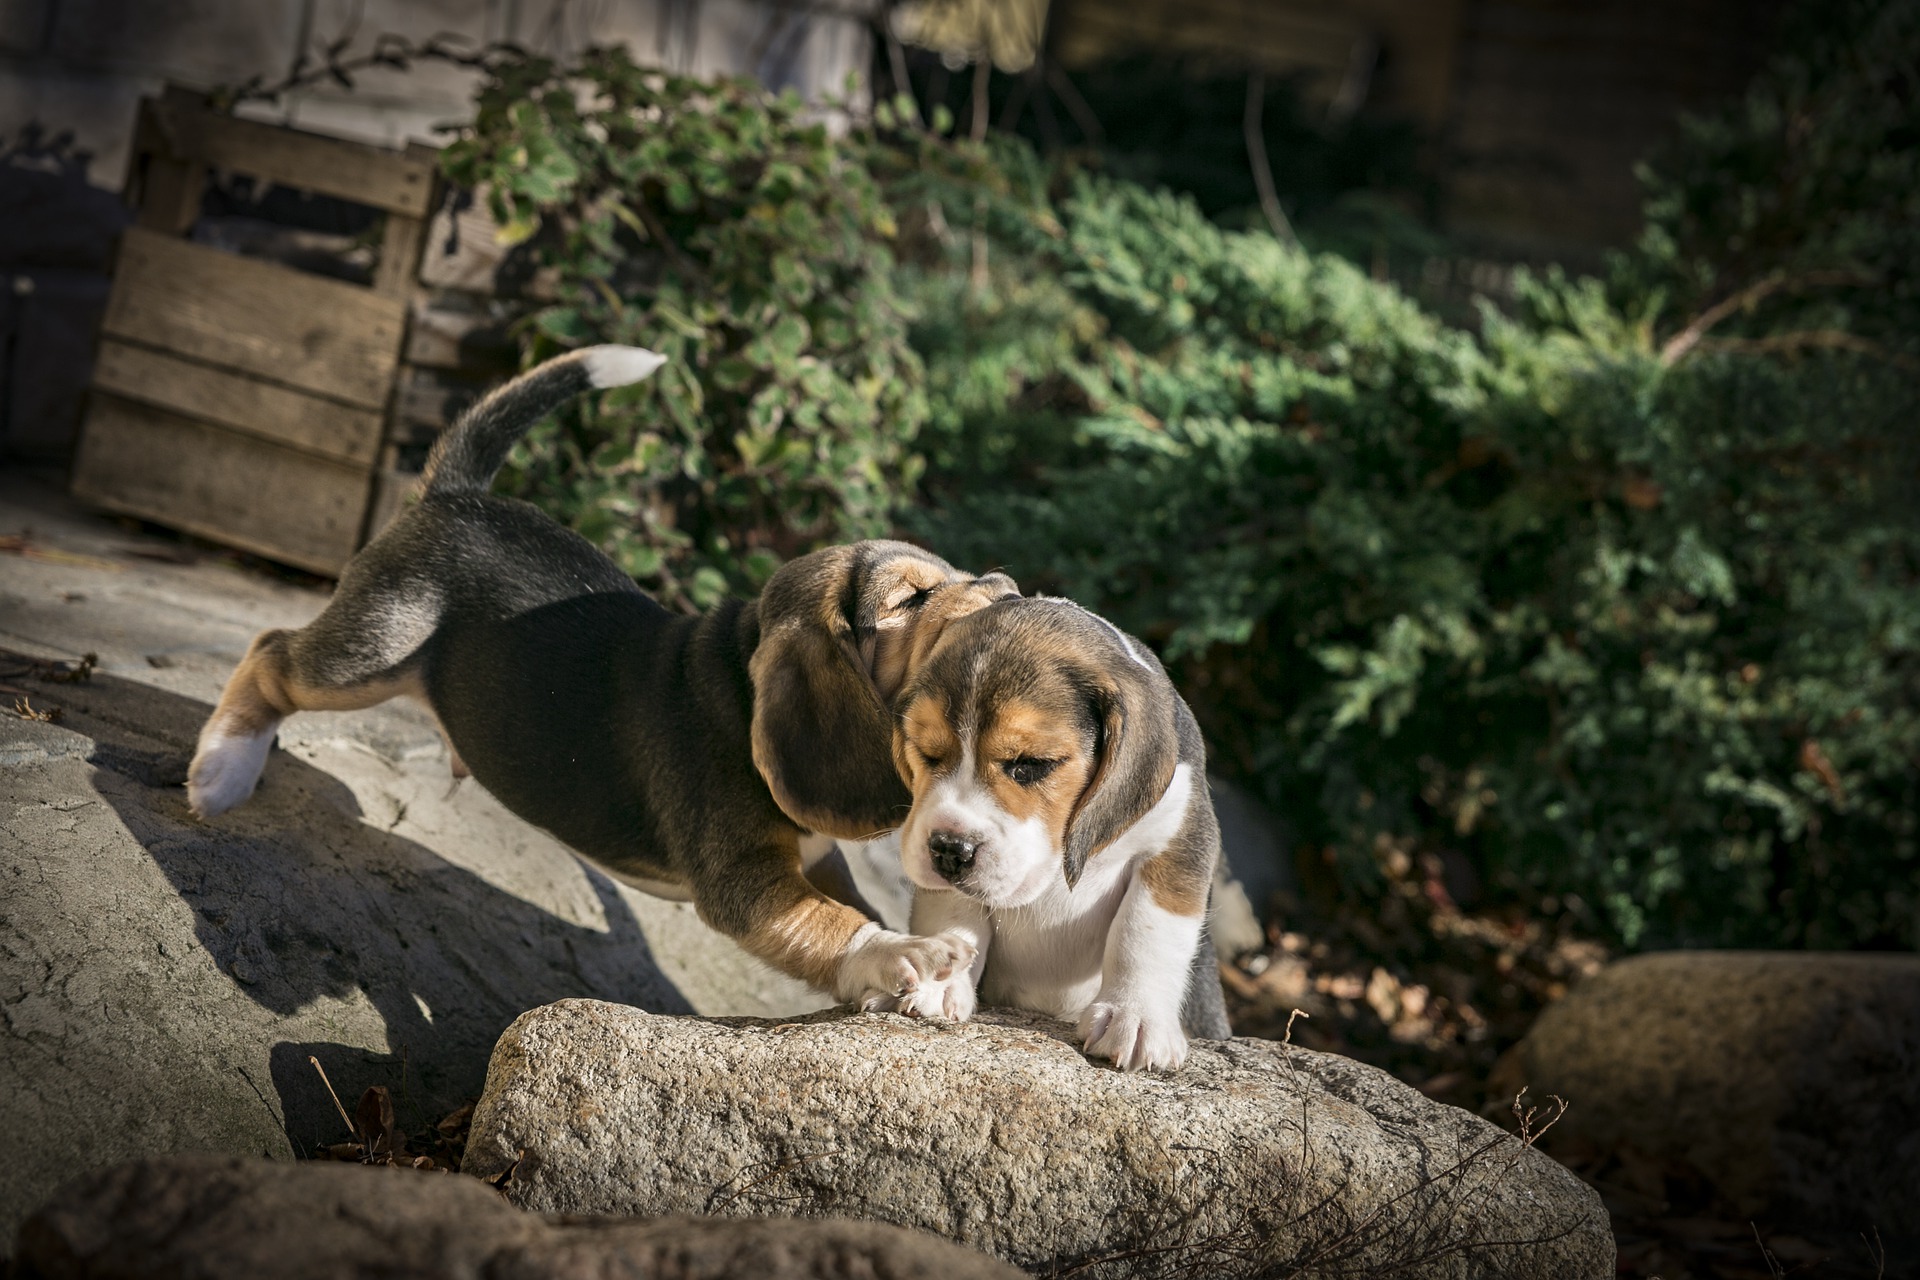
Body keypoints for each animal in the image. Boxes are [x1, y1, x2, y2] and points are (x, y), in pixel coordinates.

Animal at [187, 345, 1013, 1013]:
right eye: (909, 599)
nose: (1006, 587)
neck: (739, 683)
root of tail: (459, 496)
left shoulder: (819, 854)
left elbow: (849, 900)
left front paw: (930, 983)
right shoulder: (745, 882)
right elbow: (833, 923)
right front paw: (901, 956)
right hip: (374, 651)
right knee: (271, 656)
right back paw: (223, 770)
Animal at [887, 598, 1228, 1074]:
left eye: (1030, 765)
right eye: (928, 754)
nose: (950, 851)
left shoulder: (1180, 841)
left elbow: (1146, 930)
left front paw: (1136, 1016)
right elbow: (953, 912)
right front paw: (940, 975)